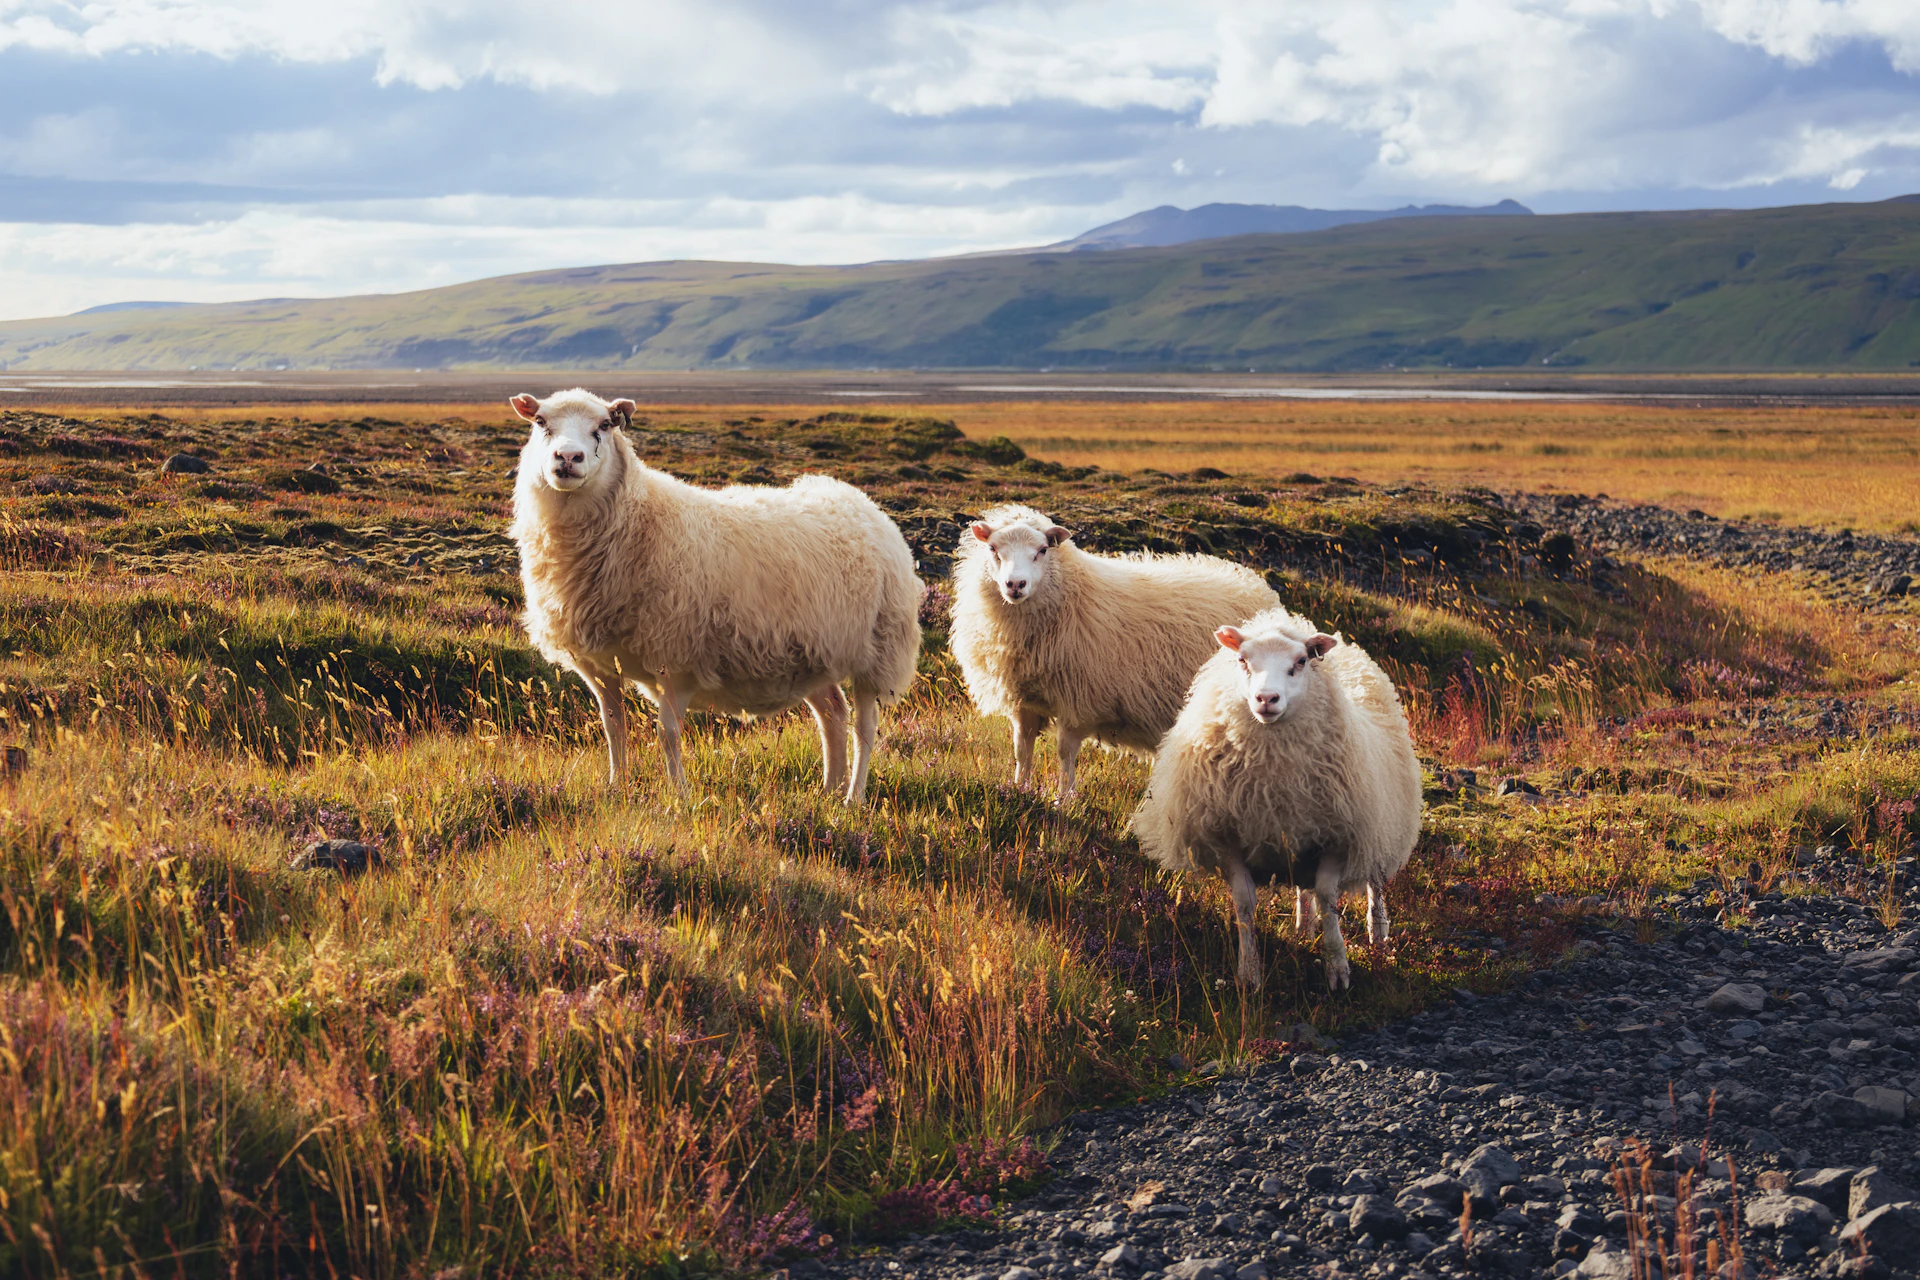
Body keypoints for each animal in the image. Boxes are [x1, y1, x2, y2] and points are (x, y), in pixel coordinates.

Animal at [507, 388, 921, 802]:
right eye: (540, 422)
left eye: (605, 425)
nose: (567, 458)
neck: (637, 520)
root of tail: (857, 499)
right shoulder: (601, 665)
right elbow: (613, 727)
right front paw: (617, 787)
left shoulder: (674, 659)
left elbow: (668, 734)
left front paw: (679, 795)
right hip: (815, 656)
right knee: (833, 712)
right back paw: (829, 789)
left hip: (878, 650)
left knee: (865, 727)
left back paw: (853, 797)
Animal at [948, 504, 1278, 799]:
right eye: (993, 548)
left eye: (1042, 550)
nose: (1015, 584)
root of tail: (1255, 585)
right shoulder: (1024, 700)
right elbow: (1022, 748)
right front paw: (1019, 790)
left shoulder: (1079, 699)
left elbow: (1065, 752)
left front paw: (1063, 800)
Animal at [1132, 606, 1422, 990]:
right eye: (1242, 659)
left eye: (1300, 661)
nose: (1266, 699)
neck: (1274, 774)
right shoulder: (1228, 837)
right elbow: (1244, 903)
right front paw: (1249, 972)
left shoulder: (1338, 836)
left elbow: (1329, 897)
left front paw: (1337, 966)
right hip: (1301, 831)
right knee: (1304, 885)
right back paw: (1302, 926)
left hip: (1379, 818)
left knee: (1374, 881)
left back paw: (1379, 934)